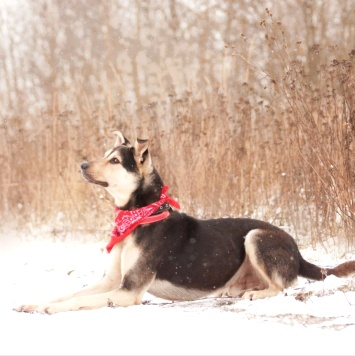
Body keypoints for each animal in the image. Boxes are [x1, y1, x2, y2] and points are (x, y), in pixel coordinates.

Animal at [14, 131, 355, 314]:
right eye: (104, 154)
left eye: (114, 160)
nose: (82, 165)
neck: (139, 215)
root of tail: (298, 252)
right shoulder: (111, 281)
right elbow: (70, 294)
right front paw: (34, 303)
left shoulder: (127, 291)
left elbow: (82, 301)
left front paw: (49, 309)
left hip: (257, 236)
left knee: (283, 285)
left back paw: (257, 293)